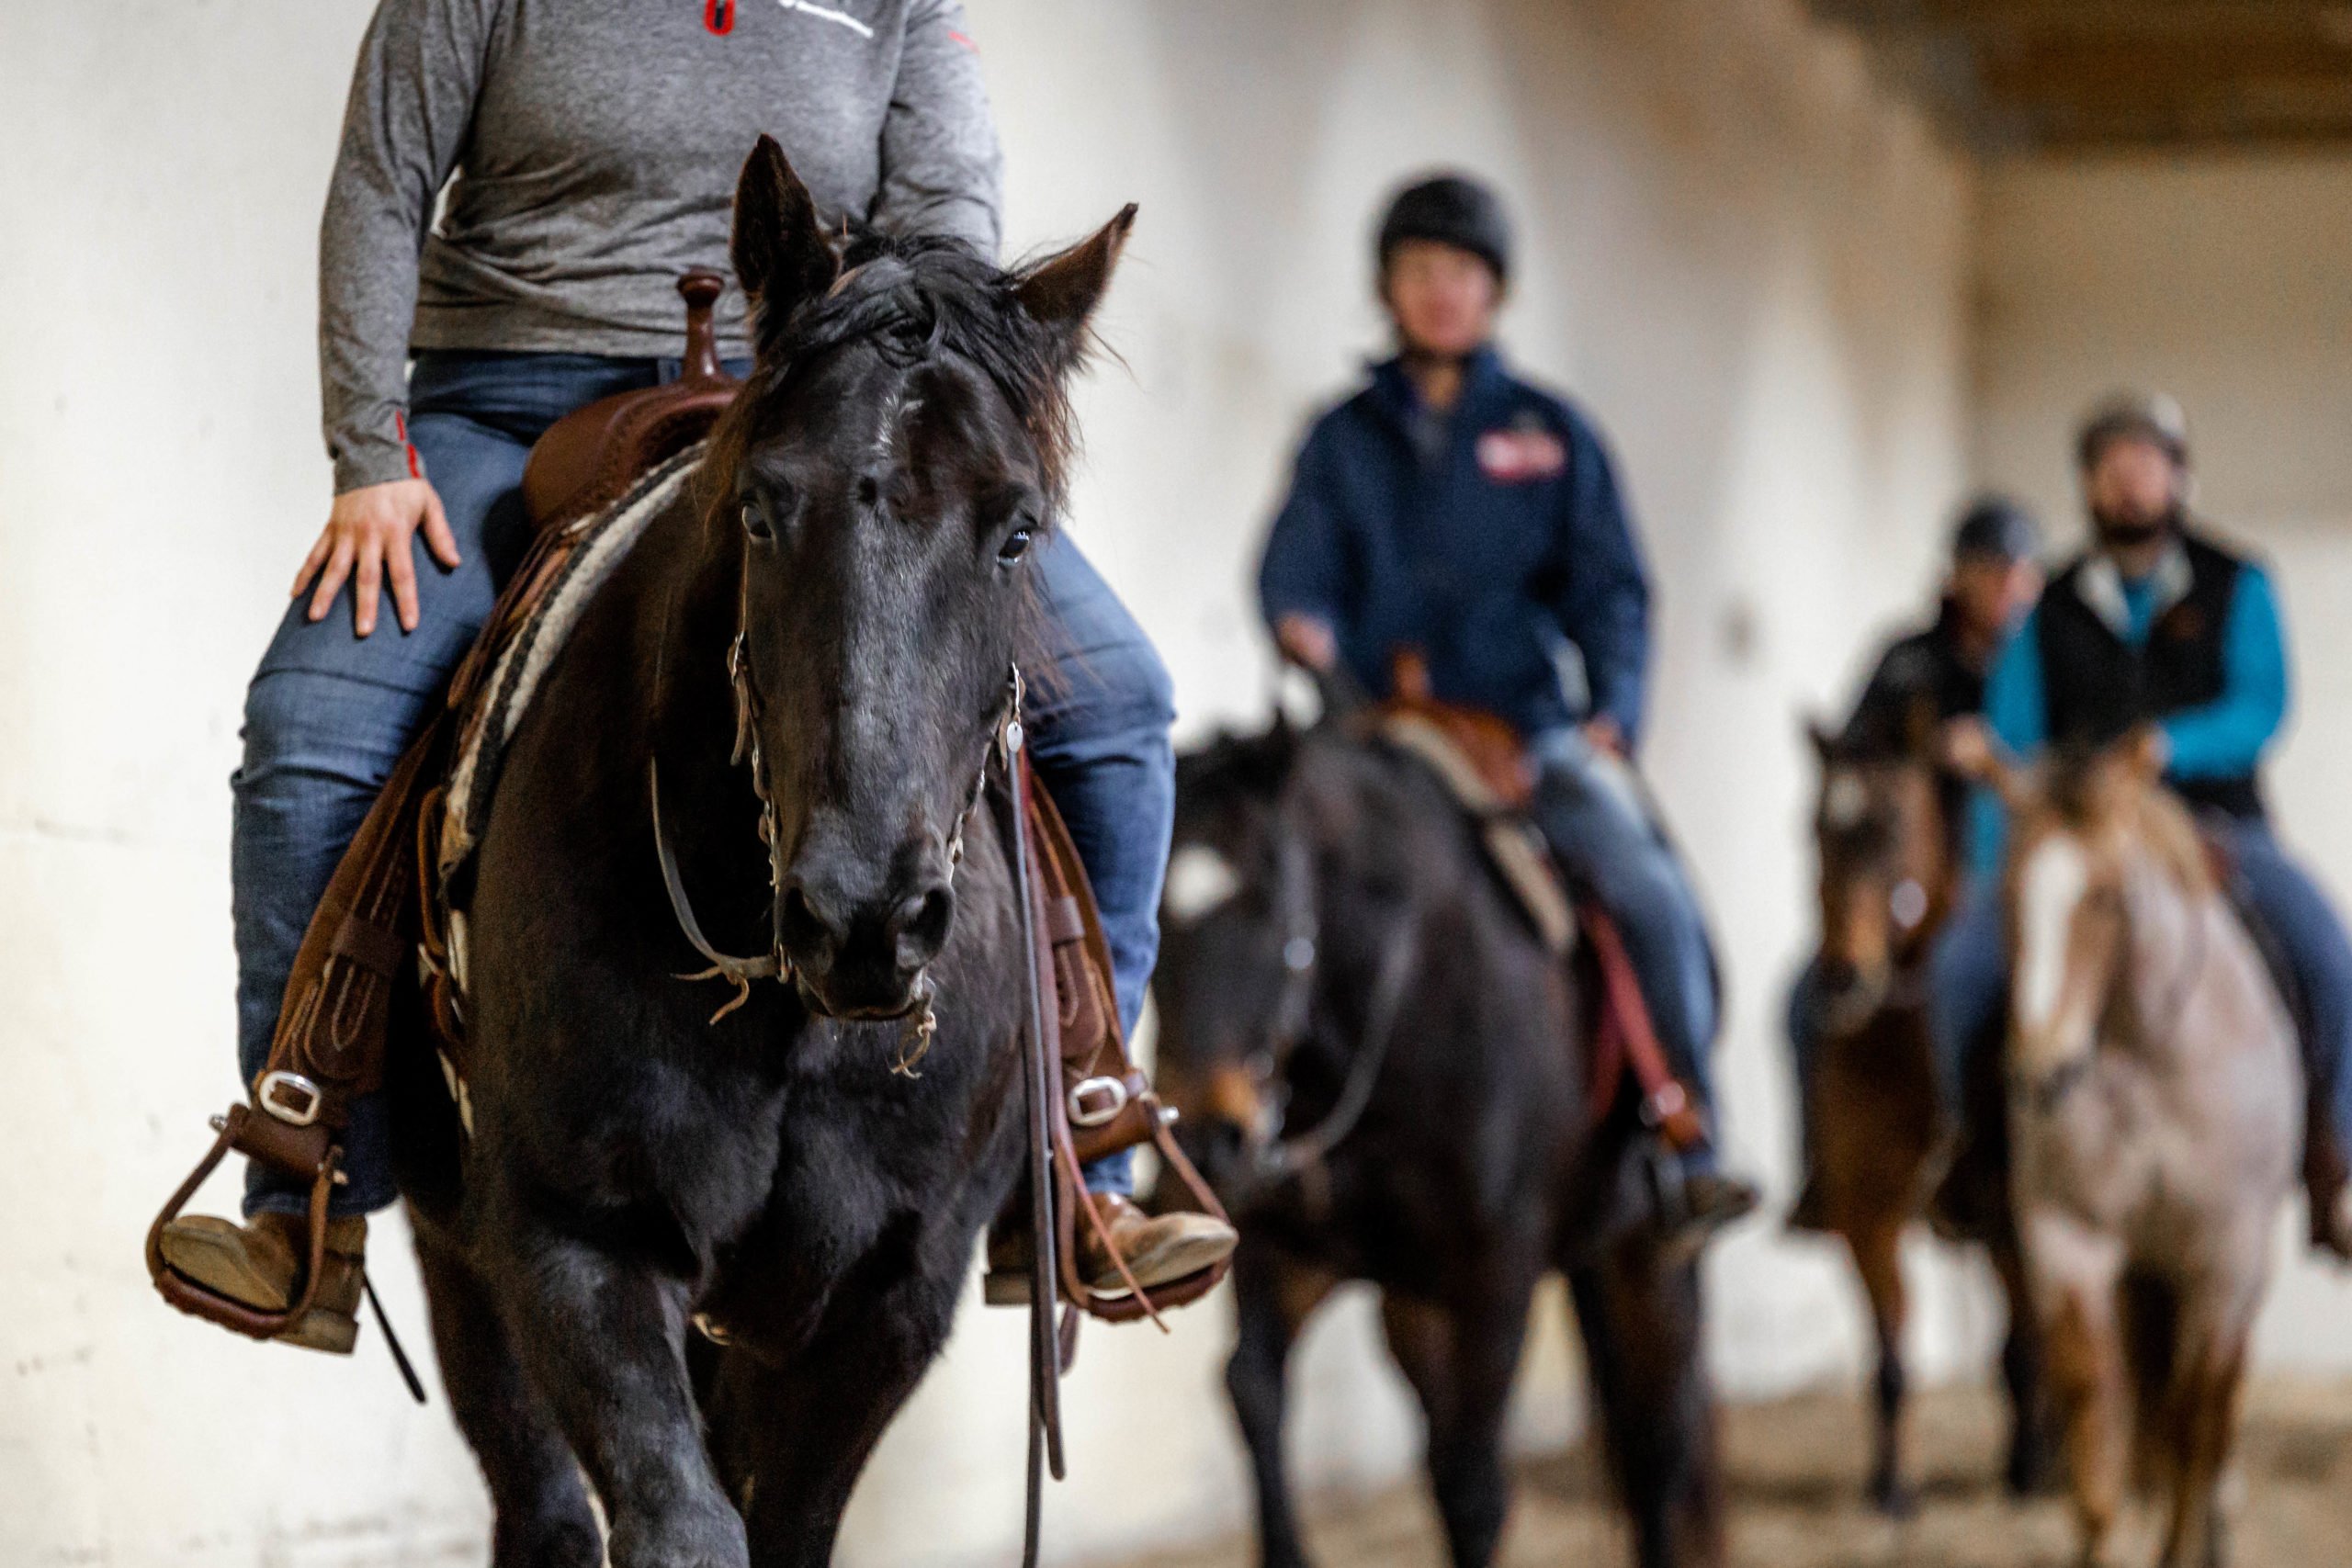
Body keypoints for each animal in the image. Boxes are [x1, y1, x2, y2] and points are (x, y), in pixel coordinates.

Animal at [383, 138, 1138, 1568]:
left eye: (1016, 530)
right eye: (760, 510)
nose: (866, 915)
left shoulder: (885, 1303)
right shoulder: (575, 1246)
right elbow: (682, 1524)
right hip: (465, 1253)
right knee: (541, 1505)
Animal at [1157, 719, 1731, 1568]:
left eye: (1269, 902)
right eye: (1151, 915)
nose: (1202, 1138)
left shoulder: (1497, 1274)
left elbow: (1474, 1486)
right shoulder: (1278, 1247)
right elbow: (1253, 1391)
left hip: (1647, 1252)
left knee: (1655, 1436)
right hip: (1414, 1301)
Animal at [1806, 728, 2051, 1523]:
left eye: (1889, 827)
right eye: (1814, 830)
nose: (1844, 978)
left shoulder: (2011, 1215)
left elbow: (2023, 1345)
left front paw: (2029, 1469)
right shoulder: (1868, 1211)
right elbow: (1890, 1353)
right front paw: (1891, 1484)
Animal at [1984, 738, 2295, 1568]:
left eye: (2105, 896)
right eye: (2006, 895)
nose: (2043, 1073)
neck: (2145, 1054)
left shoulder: (2222, 1256)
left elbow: (2194, 1420)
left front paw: (2186, 1542)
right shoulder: (2070, 1238)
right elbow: (2097, 1411)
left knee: (2211, 1416)